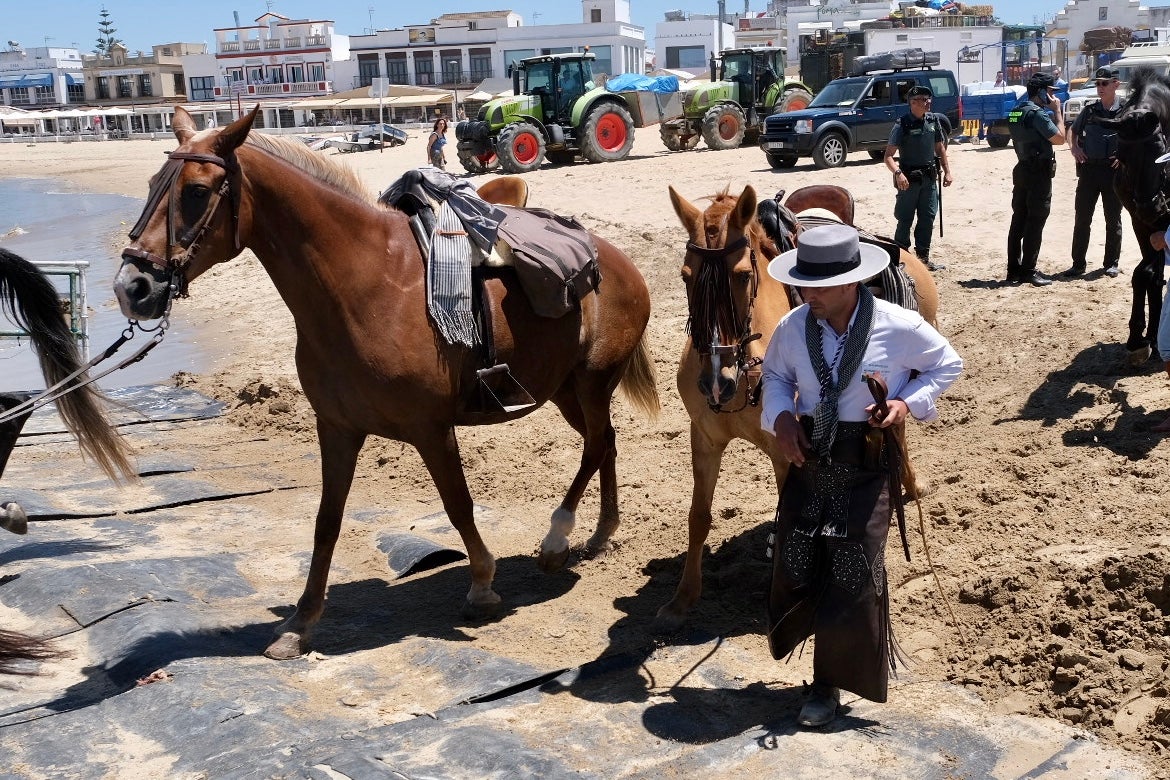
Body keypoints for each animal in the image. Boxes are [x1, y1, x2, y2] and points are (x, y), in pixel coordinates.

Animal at [114, 107, 664, 664]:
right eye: (153, 184)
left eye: (196, 191)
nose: (131, 287)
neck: (365, 285)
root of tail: (616, 260)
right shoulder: (336, 429)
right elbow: (326, 522)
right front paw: (300, 622)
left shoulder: (432, 430)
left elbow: (458, 504)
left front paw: (482, 585)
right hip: (564, 390)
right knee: (605, 442)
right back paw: (599, 535)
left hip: (591, 382)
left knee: (595, 446)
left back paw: (557, 540)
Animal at [659, 184, 940, 636]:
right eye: (686, 276)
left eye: (742, 275)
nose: (716, 382)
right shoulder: (703, 438)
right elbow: (698, 516)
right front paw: (682, 600)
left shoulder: (785, 452)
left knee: (896, 431)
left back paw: (909, 486)